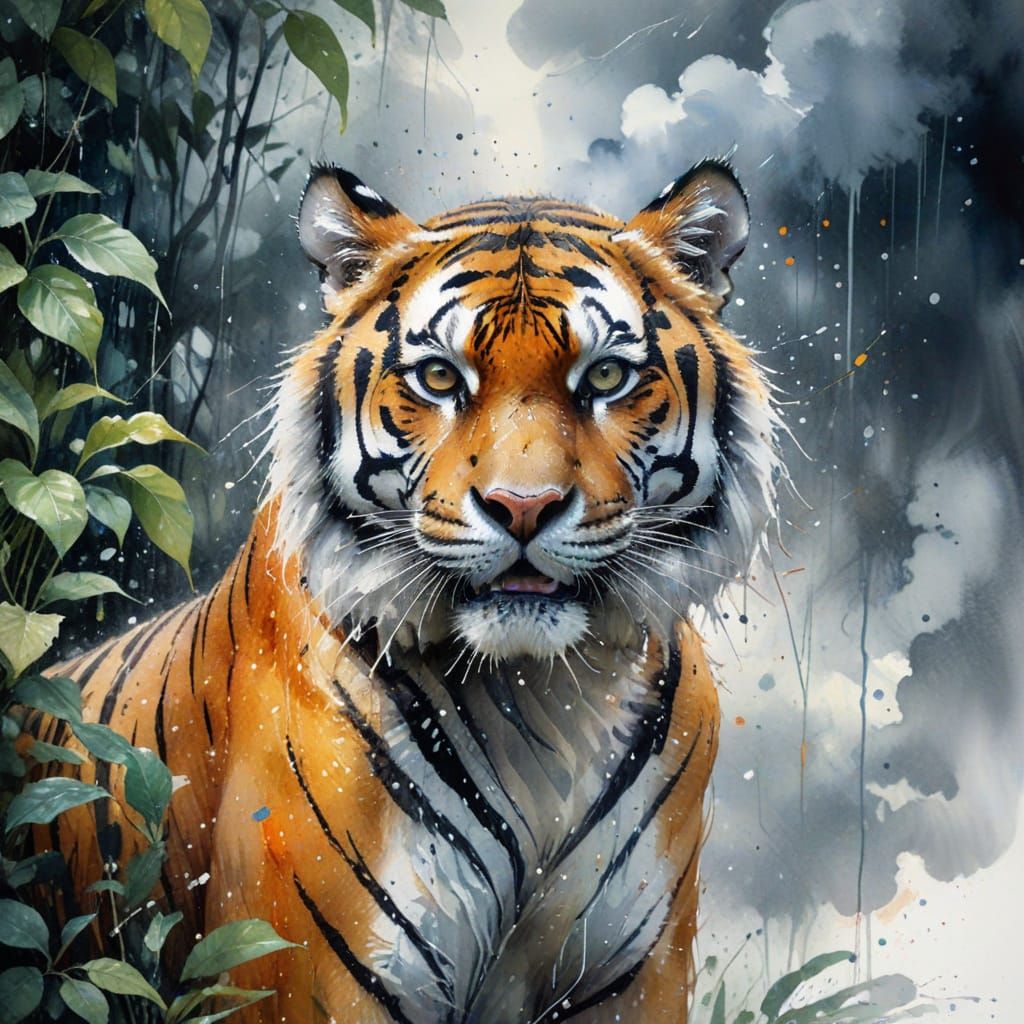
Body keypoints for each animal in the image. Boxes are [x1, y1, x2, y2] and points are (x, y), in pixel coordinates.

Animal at [30, 160, 779, 1023]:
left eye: (606, 375)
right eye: (440, 377)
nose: (523, 505)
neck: (549, 699)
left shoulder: (634, 975)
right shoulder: (308, 970)